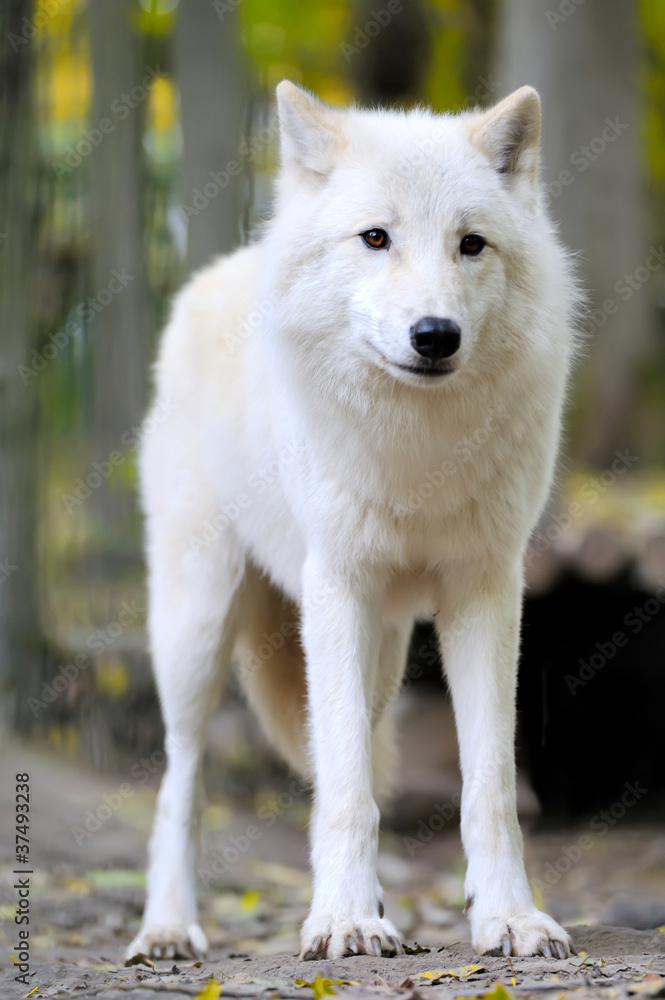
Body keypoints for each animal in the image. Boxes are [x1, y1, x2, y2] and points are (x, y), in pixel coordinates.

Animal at [127, 81, 580, 963]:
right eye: (376, 238)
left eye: (470, 245)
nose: (434, 336)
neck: (418, 451)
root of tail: (221, 269)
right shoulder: (336, 584)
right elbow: (340, 789)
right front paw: (340, 922)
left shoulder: (483, 590)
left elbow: (486, 786)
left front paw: (507, 918)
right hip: (197, 627)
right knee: (180, 781)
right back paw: (166, 927)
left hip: (382, 653)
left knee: (359, 755)